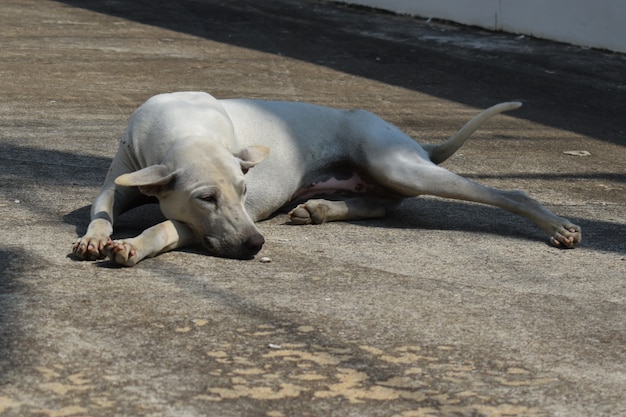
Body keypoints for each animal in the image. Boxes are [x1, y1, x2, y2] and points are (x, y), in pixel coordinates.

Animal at [73, 92, 580, 264]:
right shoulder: (120, 179)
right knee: (383, 205)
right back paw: (319, 208)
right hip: (382, 175)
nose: (256, 245)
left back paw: (557, 226)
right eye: (206, 197)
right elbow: (101, 208)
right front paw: (95, 237)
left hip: (399, 165)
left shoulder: (202, 224)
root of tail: (416, 143)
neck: (185, 128)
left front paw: (132, 247)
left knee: (506, 190)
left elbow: (165, 224)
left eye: (244, 191)